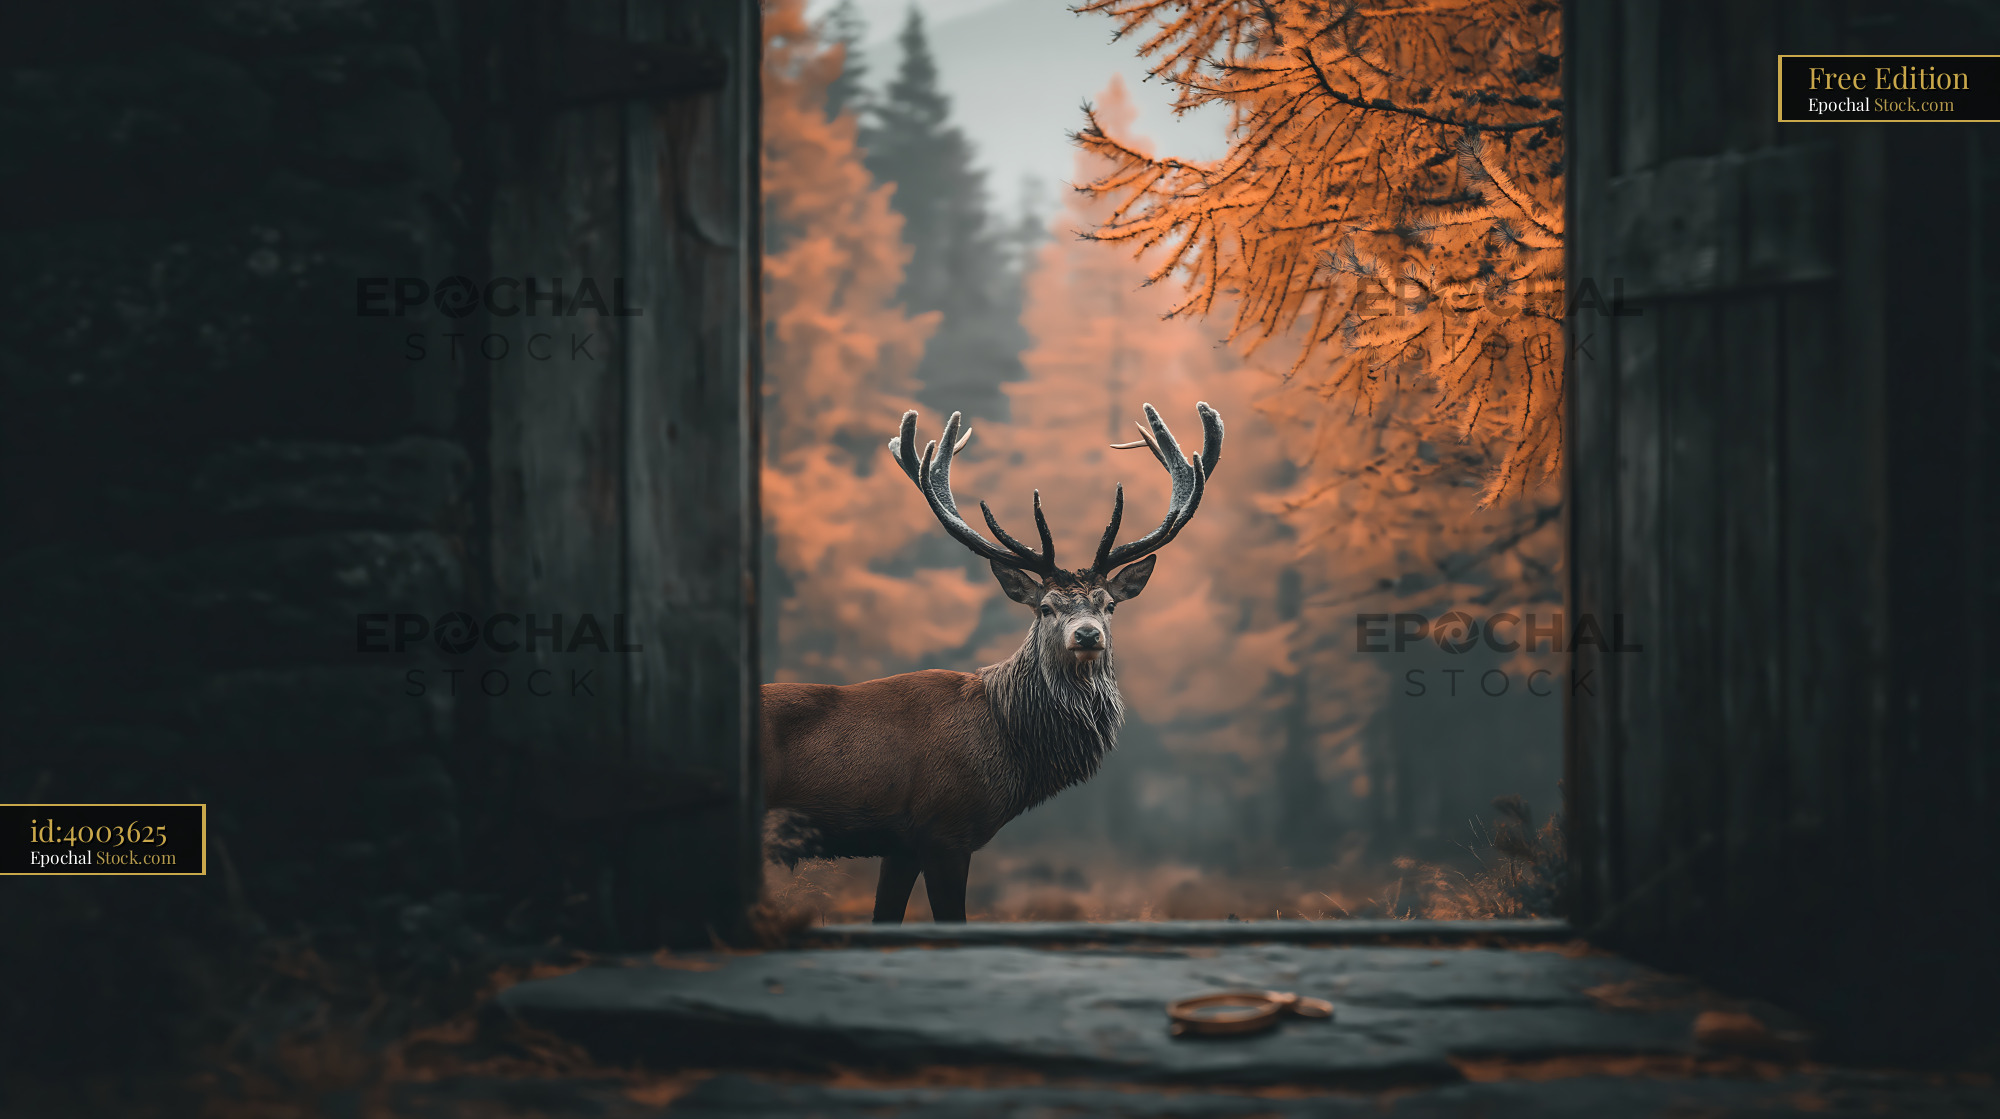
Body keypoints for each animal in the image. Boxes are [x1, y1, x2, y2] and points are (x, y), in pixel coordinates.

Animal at [760, 402, 1223, 924]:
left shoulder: (900, 846)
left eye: (1108, 604)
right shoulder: (945, 828)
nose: (1087, 635)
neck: (1007, 744)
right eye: (1045, 607)